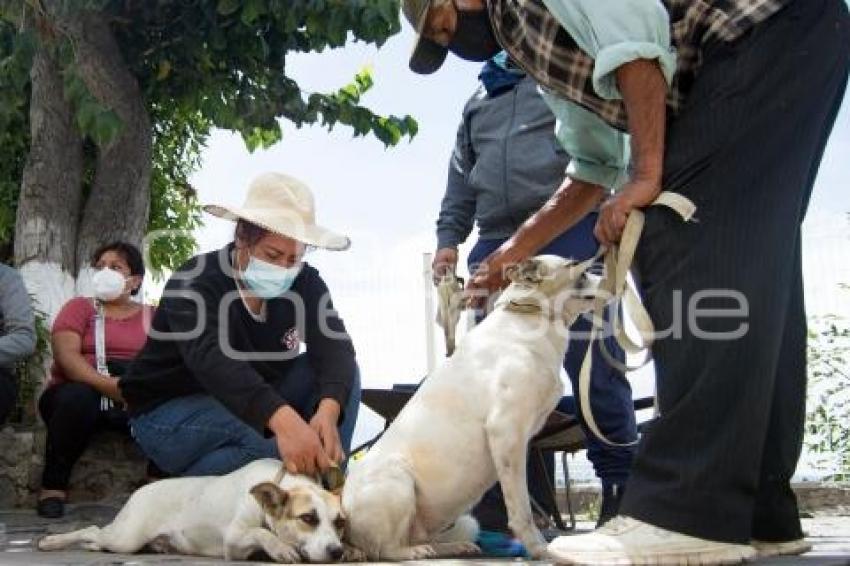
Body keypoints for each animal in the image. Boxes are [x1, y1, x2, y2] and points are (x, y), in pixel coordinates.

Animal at [39, 460, 352, 564]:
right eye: (308, 518)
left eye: (339, 523)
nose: (335, 551)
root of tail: (140, 491)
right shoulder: (234, 540)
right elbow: (260, 532)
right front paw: (280, 548)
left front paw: (351, 549)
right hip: (126, 538)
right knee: (93, 530)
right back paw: (52, 541)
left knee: (97, 537)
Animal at [342, 258, 596, 564]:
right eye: (577, 268)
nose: (606, 273)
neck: (528, 316)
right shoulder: (506, 434)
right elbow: (521, 510)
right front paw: (541, 549)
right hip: (398, 482)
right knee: (385, 549)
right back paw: (412, 552)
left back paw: (452, 547)